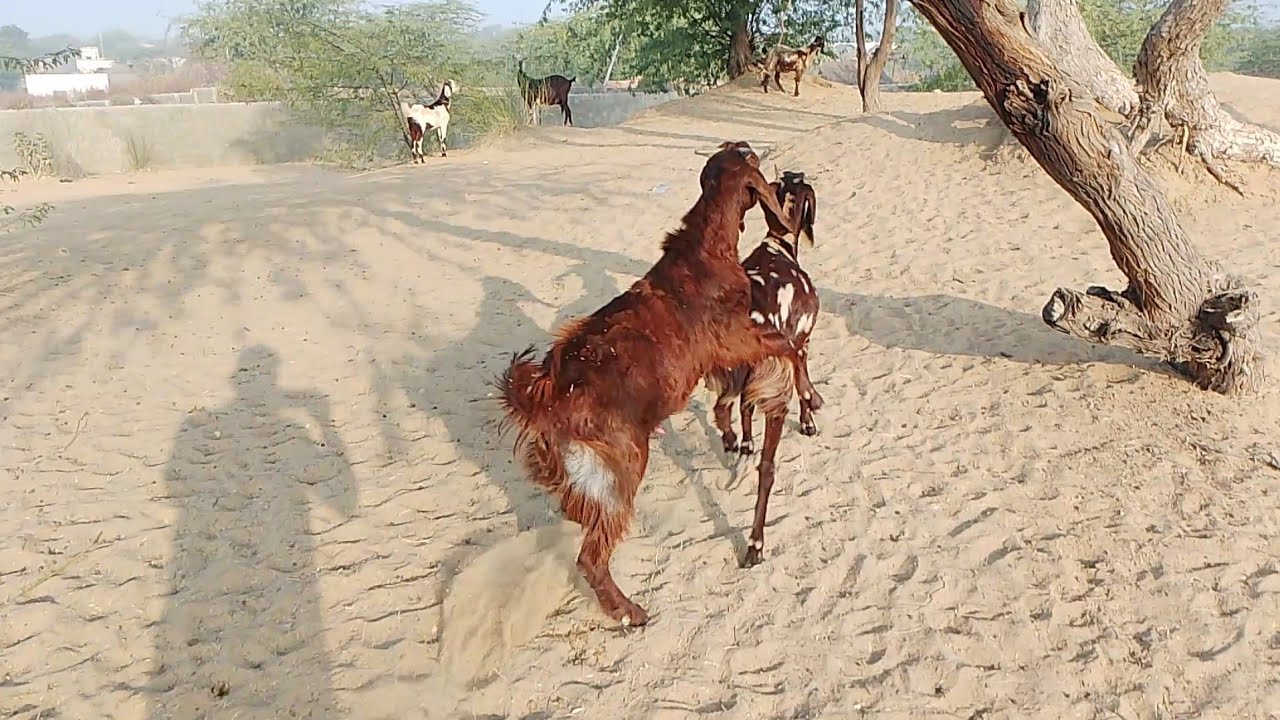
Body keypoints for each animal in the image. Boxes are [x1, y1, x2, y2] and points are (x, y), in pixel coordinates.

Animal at [703, 169, 820, 568]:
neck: (776, 247)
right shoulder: (800, 345)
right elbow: (804, 383)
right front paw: (809, 419)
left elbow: (743, 410)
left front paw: (744, 442)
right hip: (775, 402)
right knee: (766, 470)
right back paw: (755, 543)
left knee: (723, 410)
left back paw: (735, 443)